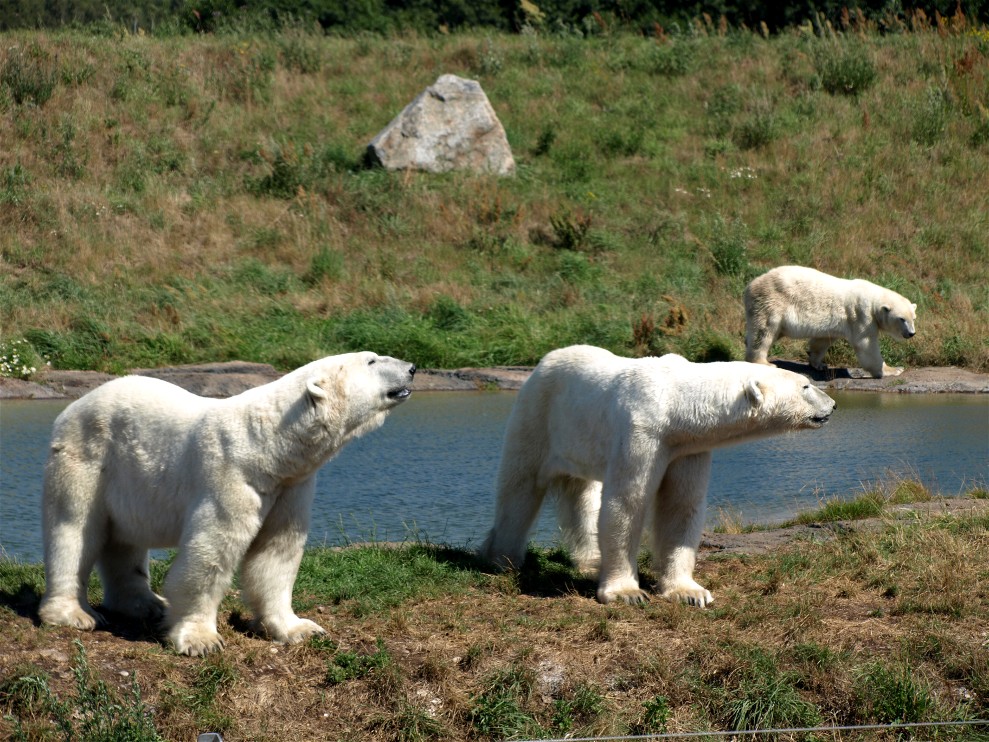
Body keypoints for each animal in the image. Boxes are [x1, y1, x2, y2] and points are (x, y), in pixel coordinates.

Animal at [39, 351, 415, 655]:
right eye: (371, 360)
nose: (412, 368)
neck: (267, 444)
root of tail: (70, 408)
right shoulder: (231, 475)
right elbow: (213, 549)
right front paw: (200, 640)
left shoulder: (290, 486)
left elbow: (277, 551)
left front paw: (299, 628)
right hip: (88, 456)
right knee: (74, 528)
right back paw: (74, 614)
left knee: (124, 541)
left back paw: (145, 604)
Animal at [480, 345, 835, 607]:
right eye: (806, 385)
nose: (832, 405)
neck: (675, 401)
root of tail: (543, 361)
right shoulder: (642, 431)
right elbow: (627, 502)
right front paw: (627, 592)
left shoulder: (686, 446)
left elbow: (681, 505)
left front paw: (690, 592)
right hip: (538, 416)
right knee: (520, 488)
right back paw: (502, 559)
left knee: (581, 494)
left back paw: (590, 560)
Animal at [744, 265, 917, 379]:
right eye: (902, 319)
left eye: (913, 318)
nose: (911, 333)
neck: (874, 299)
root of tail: (751, 285)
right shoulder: (862, 315)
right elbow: (867, 346)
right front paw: (893, 370)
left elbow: (821, 341)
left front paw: (819, 364)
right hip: (771, 301)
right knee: (763, 331)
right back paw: (764, 362)